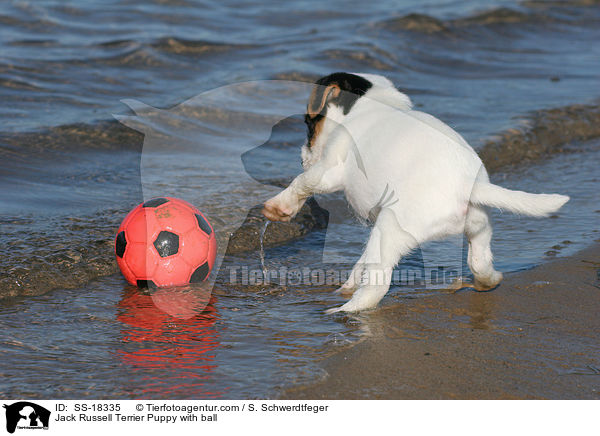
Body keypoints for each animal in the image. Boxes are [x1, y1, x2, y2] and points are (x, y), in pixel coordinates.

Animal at [262, 71, 568, 312]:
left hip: (390, 230)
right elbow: (360, 261)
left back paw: (342, 310)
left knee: (375, 287)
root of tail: (466, 184)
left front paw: (278, 207)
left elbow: (303, 182)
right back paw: (487, 282)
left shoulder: (330, 168)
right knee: (480, 263)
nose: (302, 156)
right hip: (478, 227)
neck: (374, 105)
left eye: (308, 123)